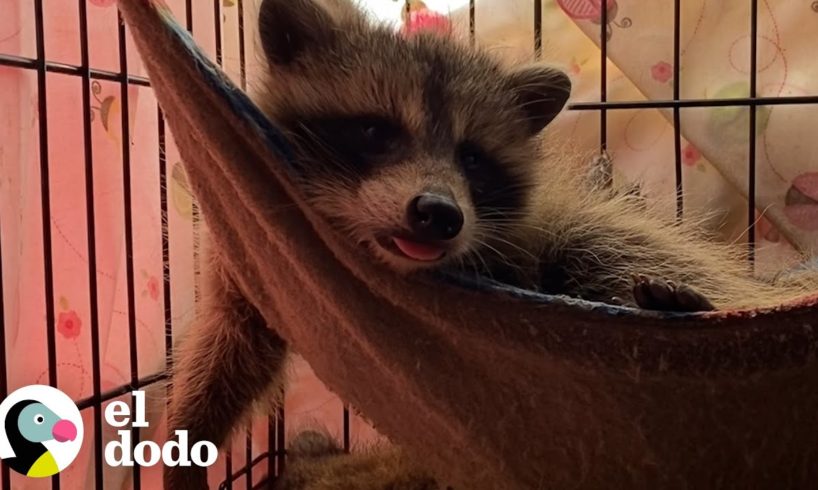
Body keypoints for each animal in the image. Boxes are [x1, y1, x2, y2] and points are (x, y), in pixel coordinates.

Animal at [164, 0, 816, 488]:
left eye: (472, 158)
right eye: (375, 131)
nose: (438, 214)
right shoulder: (252, 240)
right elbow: (233, 341)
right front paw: (189, 435)